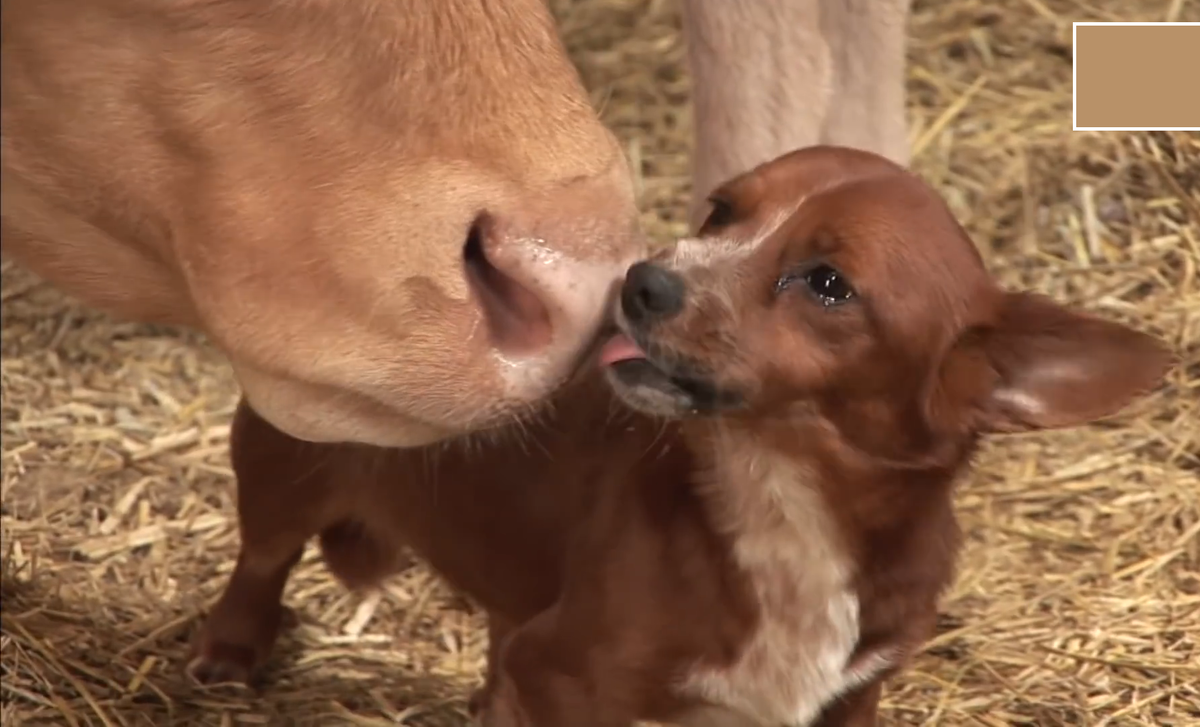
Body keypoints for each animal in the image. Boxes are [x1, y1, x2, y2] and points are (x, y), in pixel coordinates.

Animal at [189, 145, 1171, 724]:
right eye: (721, 212)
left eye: (828, 283)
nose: (641, 279)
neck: (778, 504)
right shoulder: (564, 674)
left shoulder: (851, 697)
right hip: (280, 467)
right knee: (261, 557)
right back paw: (230, 651)